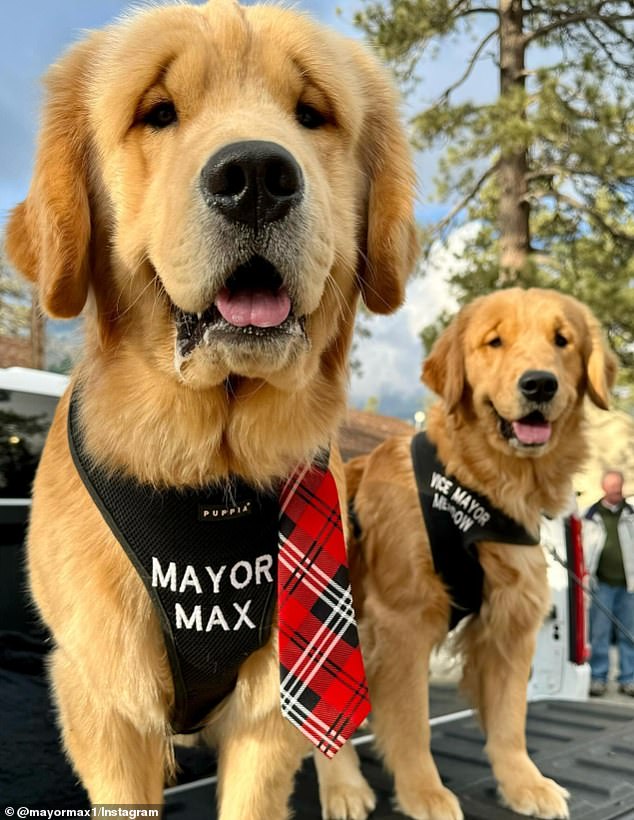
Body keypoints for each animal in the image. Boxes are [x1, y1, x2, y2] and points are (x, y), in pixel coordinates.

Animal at [6, 3, 420, 816]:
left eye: (311, 114)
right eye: (159, 112)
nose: (256, 176)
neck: (209, 470)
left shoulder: (270, 704)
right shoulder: (103, 700)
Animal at [318, 290, 616, 820]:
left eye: (562, 340)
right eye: (494, 341)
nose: (539, 384)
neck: (478, 489)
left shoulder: (510, 623)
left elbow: (510, 721)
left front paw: (523, 784)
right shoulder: (403, 620)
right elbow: (412, 721)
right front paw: (423, 792)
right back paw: (343, 787)